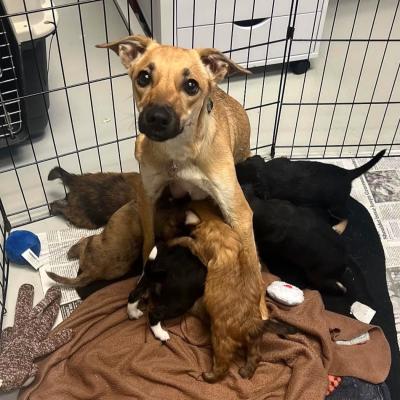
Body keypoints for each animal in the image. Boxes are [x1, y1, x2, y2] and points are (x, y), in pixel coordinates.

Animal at [96, 36, 266, 318]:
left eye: (191, 85)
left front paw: (260, 307)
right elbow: (148, 243)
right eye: (144, 77)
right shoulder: (147, 197)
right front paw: (144, 279)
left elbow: (252, 262)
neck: (179, 153)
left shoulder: (238, 211)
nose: (156, 117)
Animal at [167, 202, 296, 382]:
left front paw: (172, 241)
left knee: (223, 367)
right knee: (255, 357)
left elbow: (186, 240)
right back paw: (245, 373)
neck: (214, 221)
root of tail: (253, 323)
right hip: (254, 341)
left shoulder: (199, 248)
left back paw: (209, 375)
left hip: (220, 339)